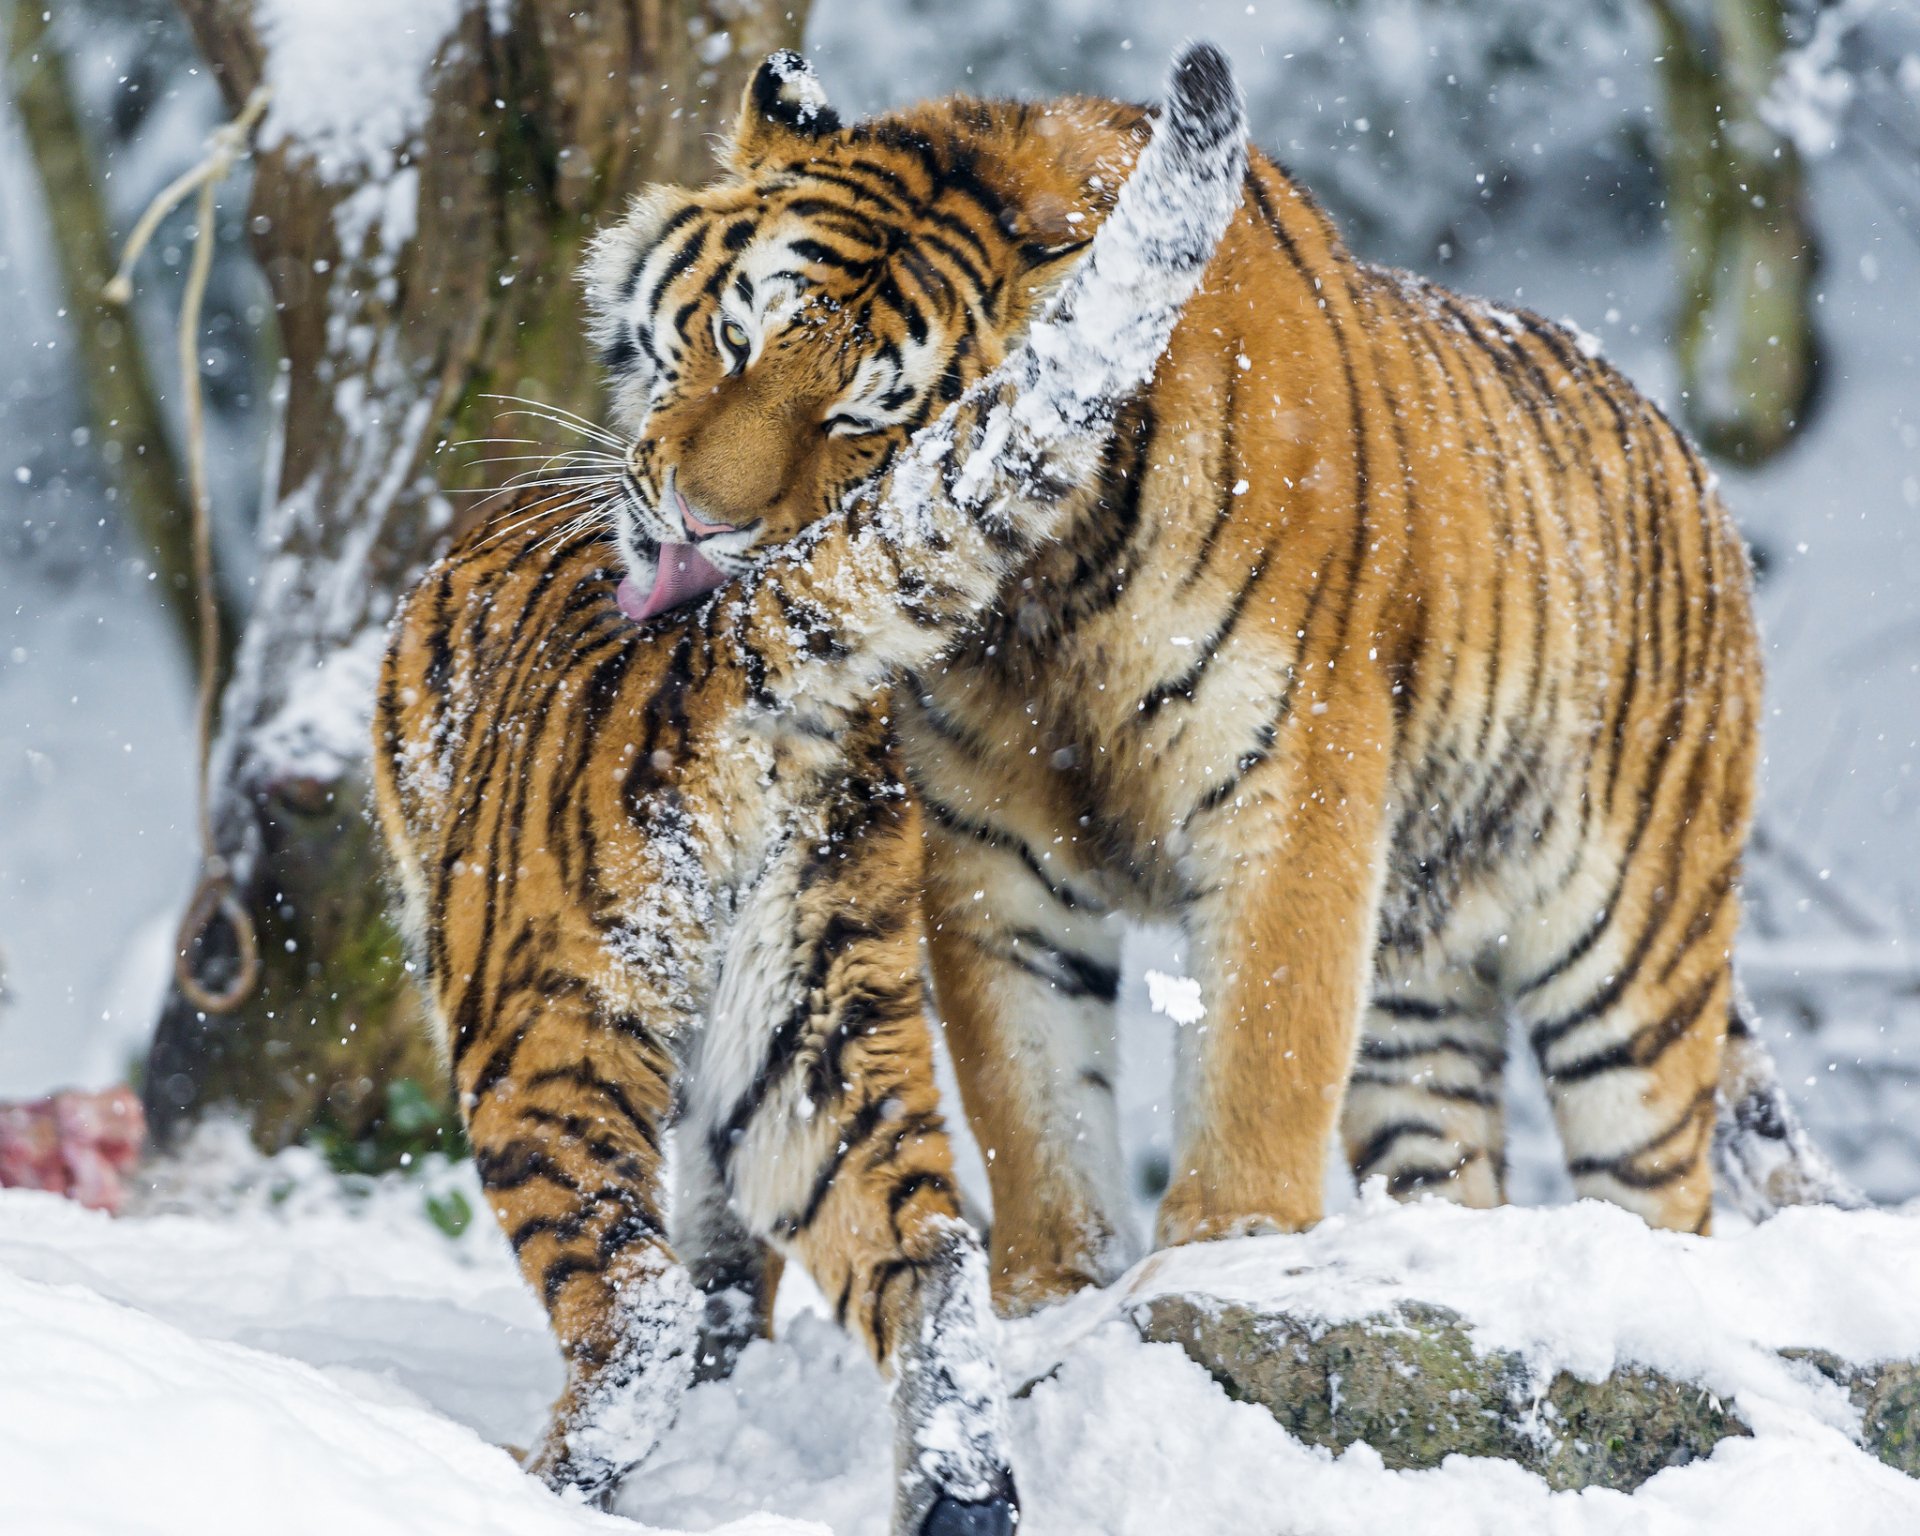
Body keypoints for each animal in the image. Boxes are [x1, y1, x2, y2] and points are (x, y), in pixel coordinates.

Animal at [372, 44, 1247, 1536]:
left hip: (542, 1014)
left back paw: (524, 1481)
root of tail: (734, 642)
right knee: (935, 1260)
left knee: (637, 1310)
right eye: (733, 340)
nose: (706, 527)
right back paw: (959, 1492)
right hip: (816, 1035)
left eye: (857, 416)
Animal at [552, 43, 1860, 1321]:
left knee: (1661, 1181)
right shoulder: (986, 842)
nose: (701, 523)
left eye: (871, 417)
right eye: (735, 340)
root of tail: (1681, 449)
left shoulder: (1292, 790)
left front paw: (1231, 1241)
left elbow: (1261, 1047)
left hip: (1631, 958)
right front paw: (1053, 1288)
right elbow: (1029, 1090)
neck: (1034, 615)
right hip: (1419, 985)